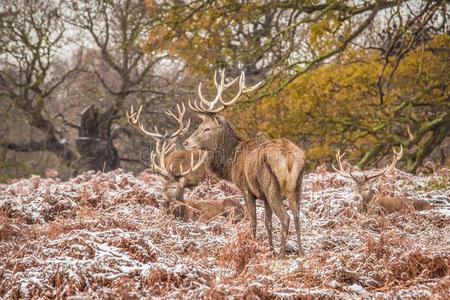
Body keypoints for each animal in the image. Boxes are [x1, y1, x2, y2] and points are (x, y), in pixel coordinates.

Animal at [183, 69, 306, 256]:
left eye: (207, 129)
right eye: (199, 126)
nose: (186, 142)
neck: (232, 160)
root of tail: (289, 157)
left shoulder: (247, 189)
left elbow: (253, 222)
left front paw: (252, 248)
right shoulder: (263, 196)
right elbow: (267, 223)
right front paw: (269, 250)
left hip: (272, 186)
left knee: (286, 217)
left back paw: (282, 254)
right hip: (296, 186)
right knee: (298, 216)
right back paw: (300, 251)